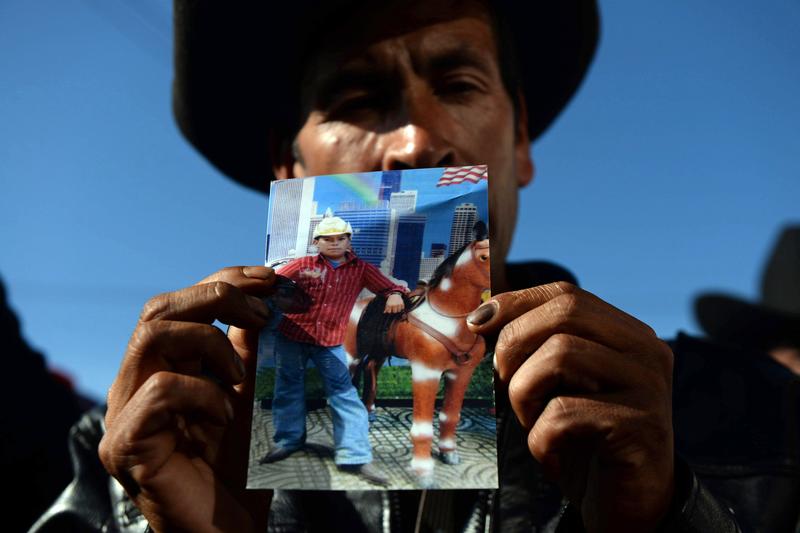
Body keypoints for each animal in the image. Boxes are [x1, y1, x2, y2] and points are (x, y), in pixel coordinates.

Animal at [342, 235, 488, 484]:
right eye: (484, 257)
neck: (447, 317)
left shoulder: (461, 373)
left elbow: (451, 415)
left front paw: (448, 452)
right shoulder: (425, 371)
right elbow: (422, 427)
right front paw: (423, 472)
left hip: (380, 351)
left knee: (371, 369)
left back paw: (369, 412)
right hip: (350, 354)